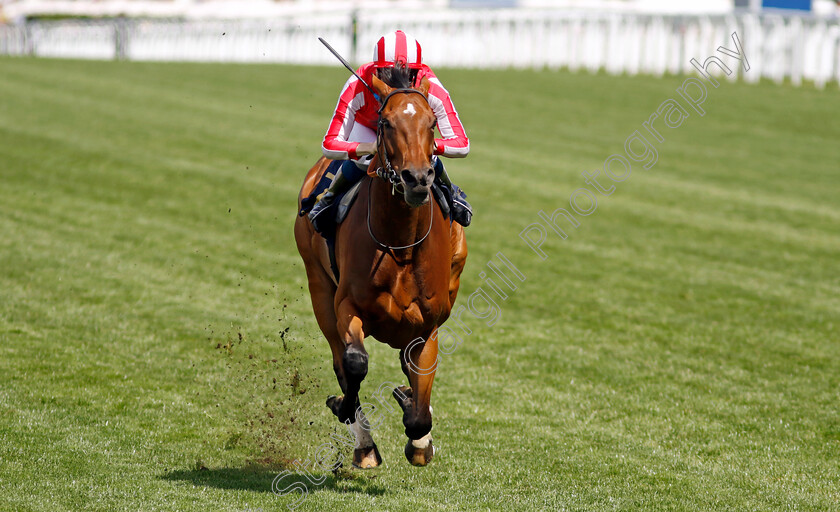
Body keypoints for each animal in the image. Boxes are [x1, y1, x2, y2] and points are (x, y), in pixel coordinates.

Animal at [294, 71, 466, 468]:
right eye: (385, 123)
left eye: (432, 123)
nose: (417, 178)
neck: (402, 244)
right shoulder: (347, 306)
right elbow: (354, 364)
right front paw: (347, 413)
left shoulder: (429, 325)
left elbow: (419, 404)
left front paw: (418, 431)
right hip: (318, 286)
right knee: (341, 360)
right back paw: (363, 441)